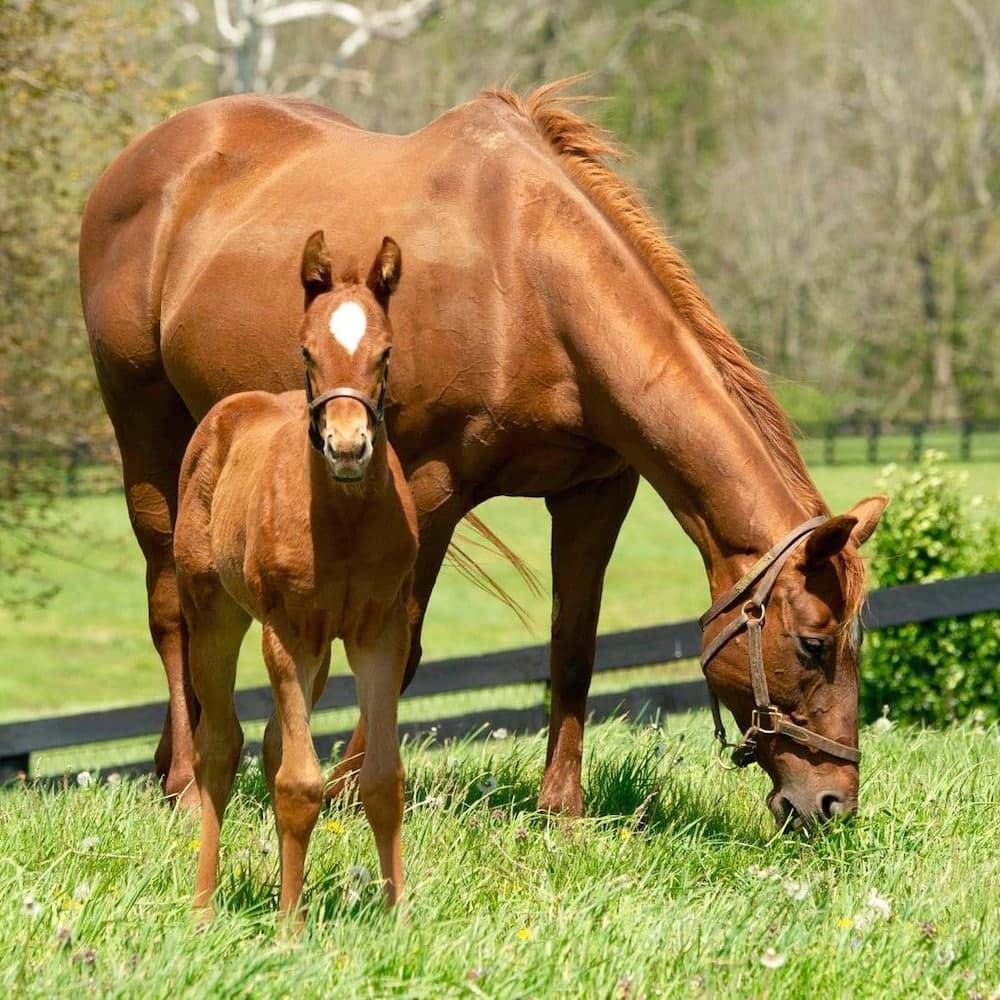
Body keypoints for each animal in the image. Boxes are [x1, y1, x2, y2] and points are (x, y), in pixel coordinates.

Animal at [80, 79, 887, 831]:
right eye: (814, 644)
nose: (831, 804)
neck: (526, 278)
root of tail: (137, 164)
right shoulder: (430, 493)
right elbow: (398, 651)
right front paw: (351, 793)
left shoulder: (596, 496)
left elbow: (573, 650)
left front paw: (561, 812)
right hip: (146, 432)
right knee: (170, 610)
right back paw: (188, 786)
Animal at [173, 233, 415, 917]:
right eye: (307, 350)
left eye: (386, 352)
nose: (348, 447)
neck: (344, 523)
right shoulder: (285, 633)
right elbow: (299, 785)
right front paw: (288, 928)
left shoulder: (379, 633)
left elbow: (381, 778)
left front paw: (398, 918)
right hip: (215, 618)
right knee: (220, 746)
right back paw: (203, 906)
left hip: (321, 652)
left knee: (275, 742)